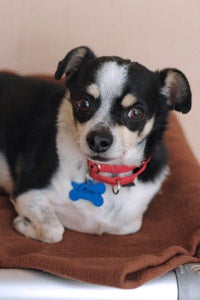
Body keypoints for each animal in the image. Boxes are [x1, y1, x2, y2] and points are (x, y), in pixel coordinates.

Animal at [0, 47, 191, 244]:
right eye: (83, 103)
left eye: (136, 113)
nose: (98, 140)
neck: (109, 174)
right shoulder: (27, 192)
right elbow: (54, 229)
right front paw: (23, 224)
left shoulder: (131, 221)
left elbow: (131, 225)